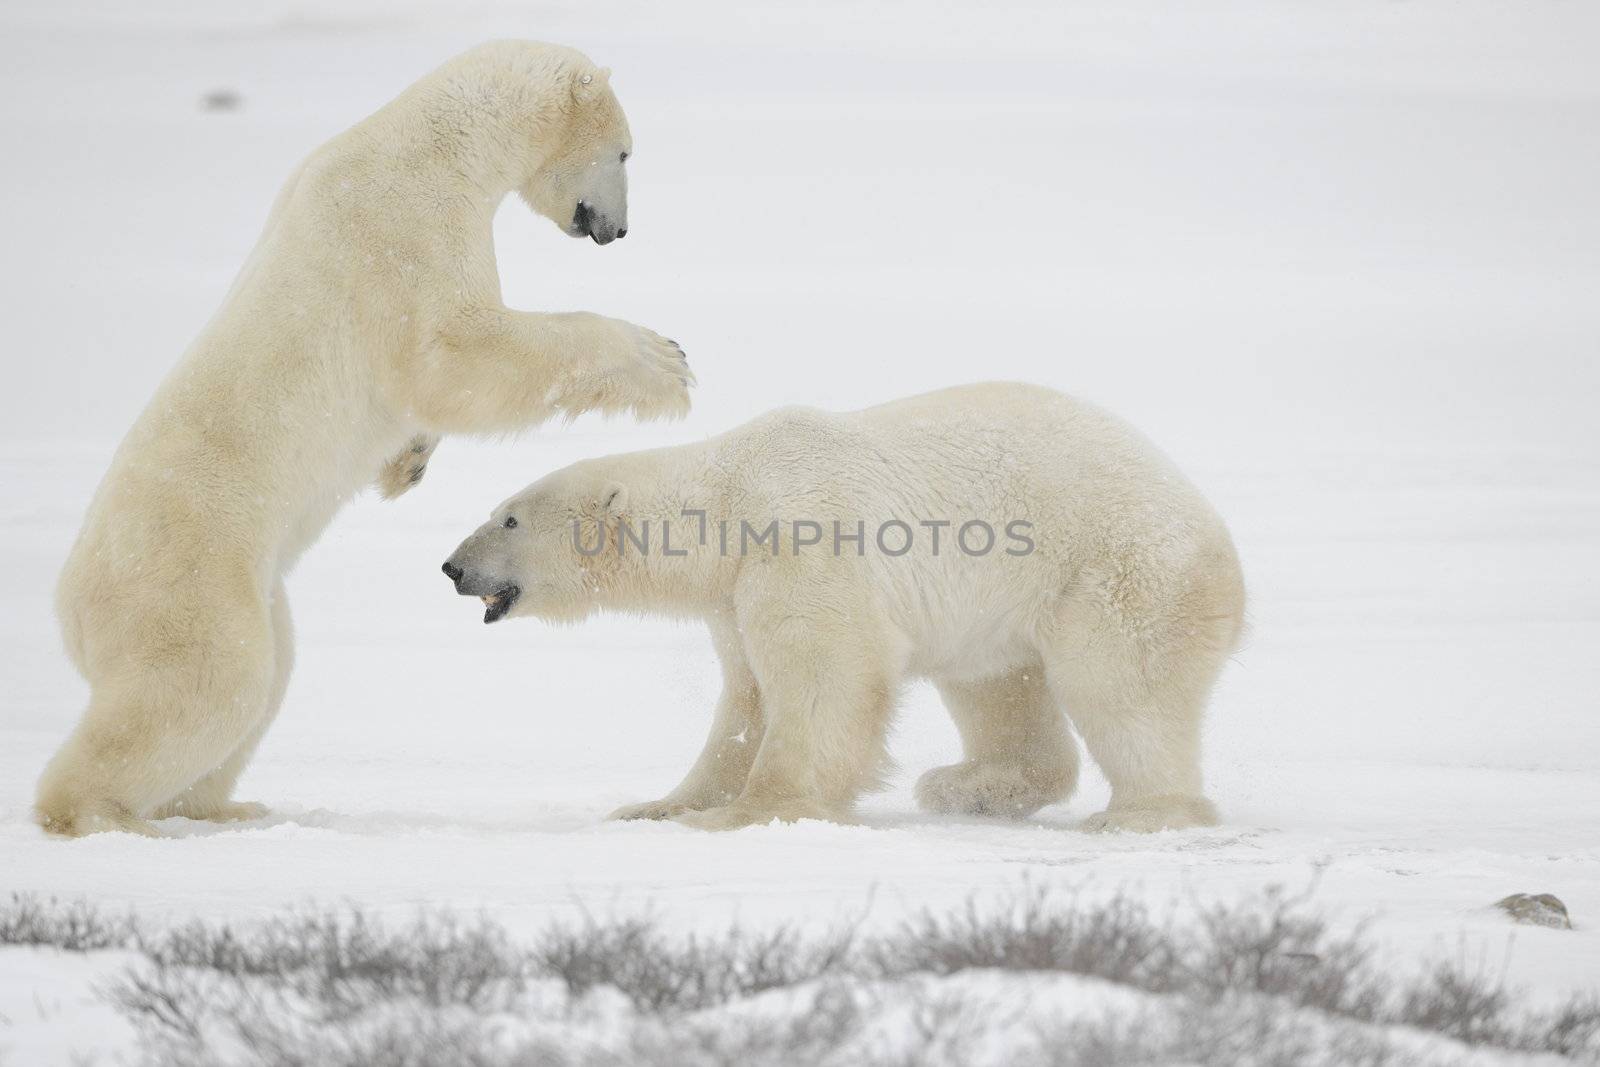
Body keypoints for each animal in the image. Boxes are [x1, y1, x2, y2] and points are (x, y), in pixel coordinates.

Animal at [36, 41, 688, 838]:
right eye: (623, 151)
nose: (615, 230)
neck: (432, 142)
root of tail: (69, 610)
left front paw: (407, 463)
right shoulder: (403, 230)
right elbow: (456, 351)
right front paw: (662, 359)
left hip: (253, 588)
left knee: (264, 678)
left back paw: (227, 806)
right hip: (182, 579)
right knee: (207, 684)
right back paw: (105, 815)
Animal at [441, 383, 1248, 831]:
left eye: (508, 519)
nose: (452, 567)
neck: (729, 497)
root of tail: (1221, 540)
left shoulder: (801, 544)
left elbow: (823, 675)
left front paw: (752, 812)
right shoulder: (734, 593)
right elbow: (746, 702)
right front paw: (657, 805)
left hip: (1115, 569)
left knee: (1122, 688)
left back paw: (1140, 812)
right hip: (1000, 606)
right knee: (996, 684)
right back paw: (968, 785)